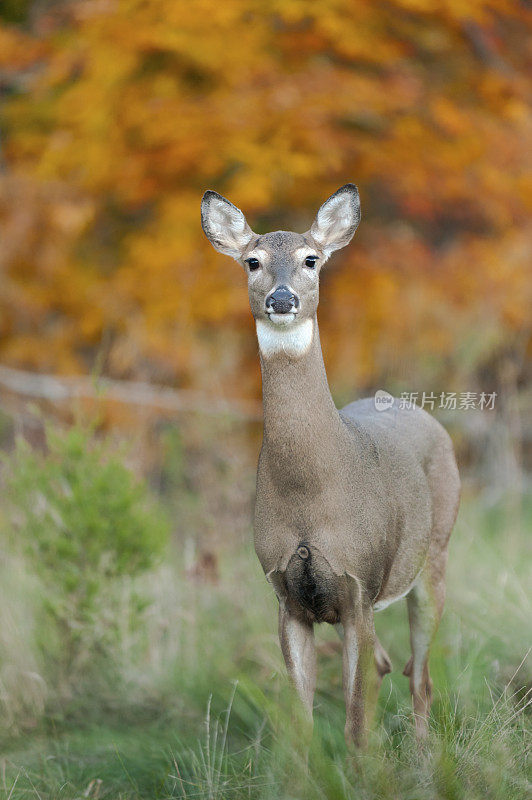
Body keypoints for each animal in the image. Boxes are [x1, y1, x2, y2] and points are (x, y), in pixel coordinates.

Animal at [202, 184, 460, 748]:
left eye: (310, 259)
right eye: (252, 261)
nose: (281, 299)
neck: (309, 495)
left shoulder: (359, 582)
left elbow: (356, 724)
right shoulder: (288, 595)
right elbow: (301, 727)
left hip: (433, 556)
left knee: (421, 676)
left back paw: (425, 755)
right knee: (389, 666)